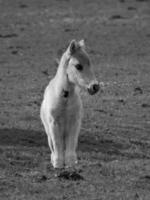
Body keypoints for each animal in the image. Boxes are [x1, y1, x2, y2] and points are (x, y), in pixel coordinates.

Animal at [40, 39, 99, 169]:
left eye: (90, 64)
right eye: (78, 66)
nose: (95, 87)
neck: (64, 98)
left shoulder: (75, 123)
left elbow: (71, 143)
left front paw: (71, 163)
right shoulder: (54, 123)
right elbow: (57, 144)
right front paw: (58, 164)